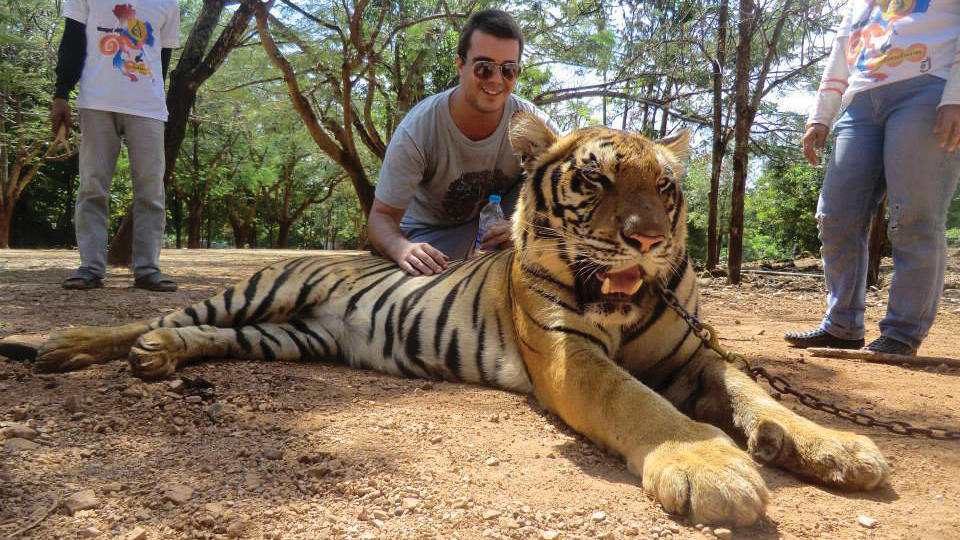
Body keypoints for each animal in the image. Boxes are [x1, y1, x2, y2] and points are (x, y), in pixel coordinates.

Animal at [15, 112, 888, 524]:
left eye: (665, 189)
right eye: (596, 181)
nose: (646, 240)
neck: (628, 303)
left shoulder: (695, 354)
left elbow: (757, 394)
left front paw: (834, 446)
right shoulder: (570, 355)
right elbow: (641, 405)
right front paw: (712, 469)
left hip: (284, 335)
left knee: (202, 335)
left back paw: (160, 355)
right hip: (255, 293)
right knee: (156, 315)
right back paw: (66, 344)